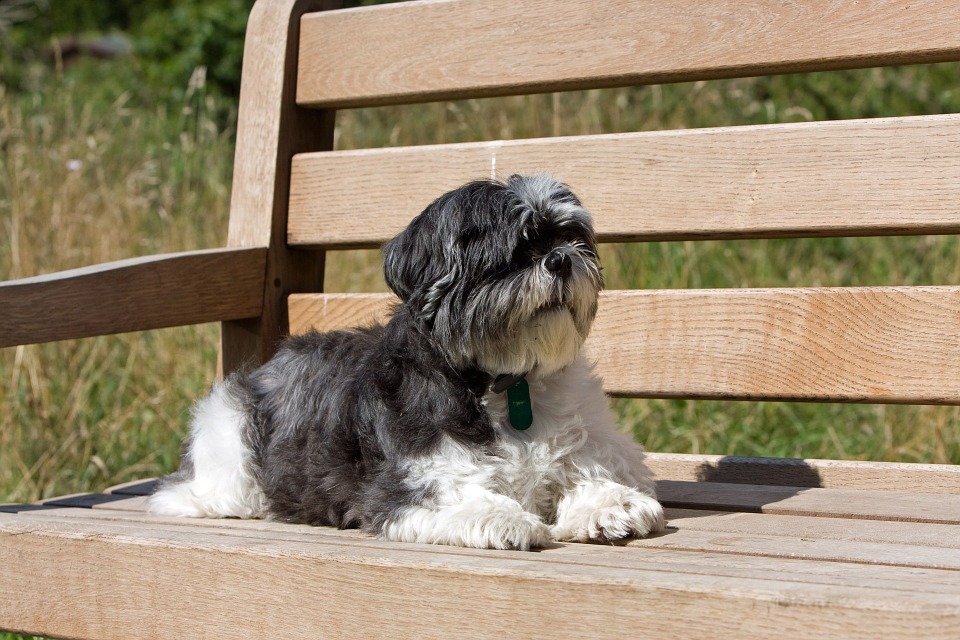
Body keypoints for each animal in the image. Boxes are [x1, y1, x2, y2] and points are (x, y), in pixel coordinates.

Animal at [146, 175, 664, 552]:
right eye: (513, 254)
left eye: (571, 237)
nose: (560, 259)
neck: (508, 381)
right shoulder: (408, 481)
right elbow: (455, 493)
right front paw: (503, 516)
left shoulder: (600, 444)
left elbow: (595, 468)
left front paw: (611, 504)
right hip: (230, 453)